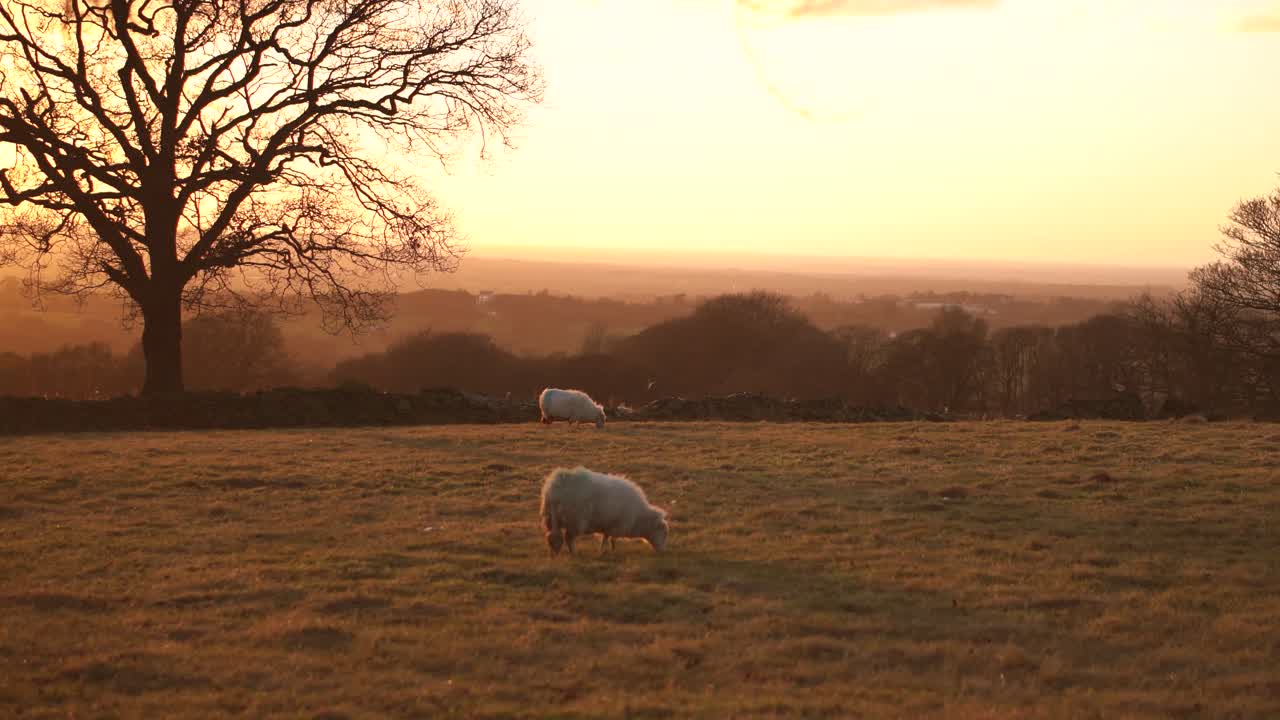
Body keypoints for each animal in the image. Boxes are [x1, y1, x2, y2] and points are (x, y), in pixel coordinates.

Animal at [540, 466, 669, 555]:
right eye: (663, 533)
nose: (662, 552)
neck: (639, 518)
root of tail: (556, 486)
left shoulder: (609, 526)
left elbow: (606, 538)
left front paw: (605, 550)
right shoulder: (617, 525)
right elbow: (610, 539)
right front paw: (609, 550)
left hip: (551, 518)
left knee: (552, 537)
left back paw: (554, 554)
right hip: (575, 520)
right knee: (568, 538)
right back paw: (574, 553)